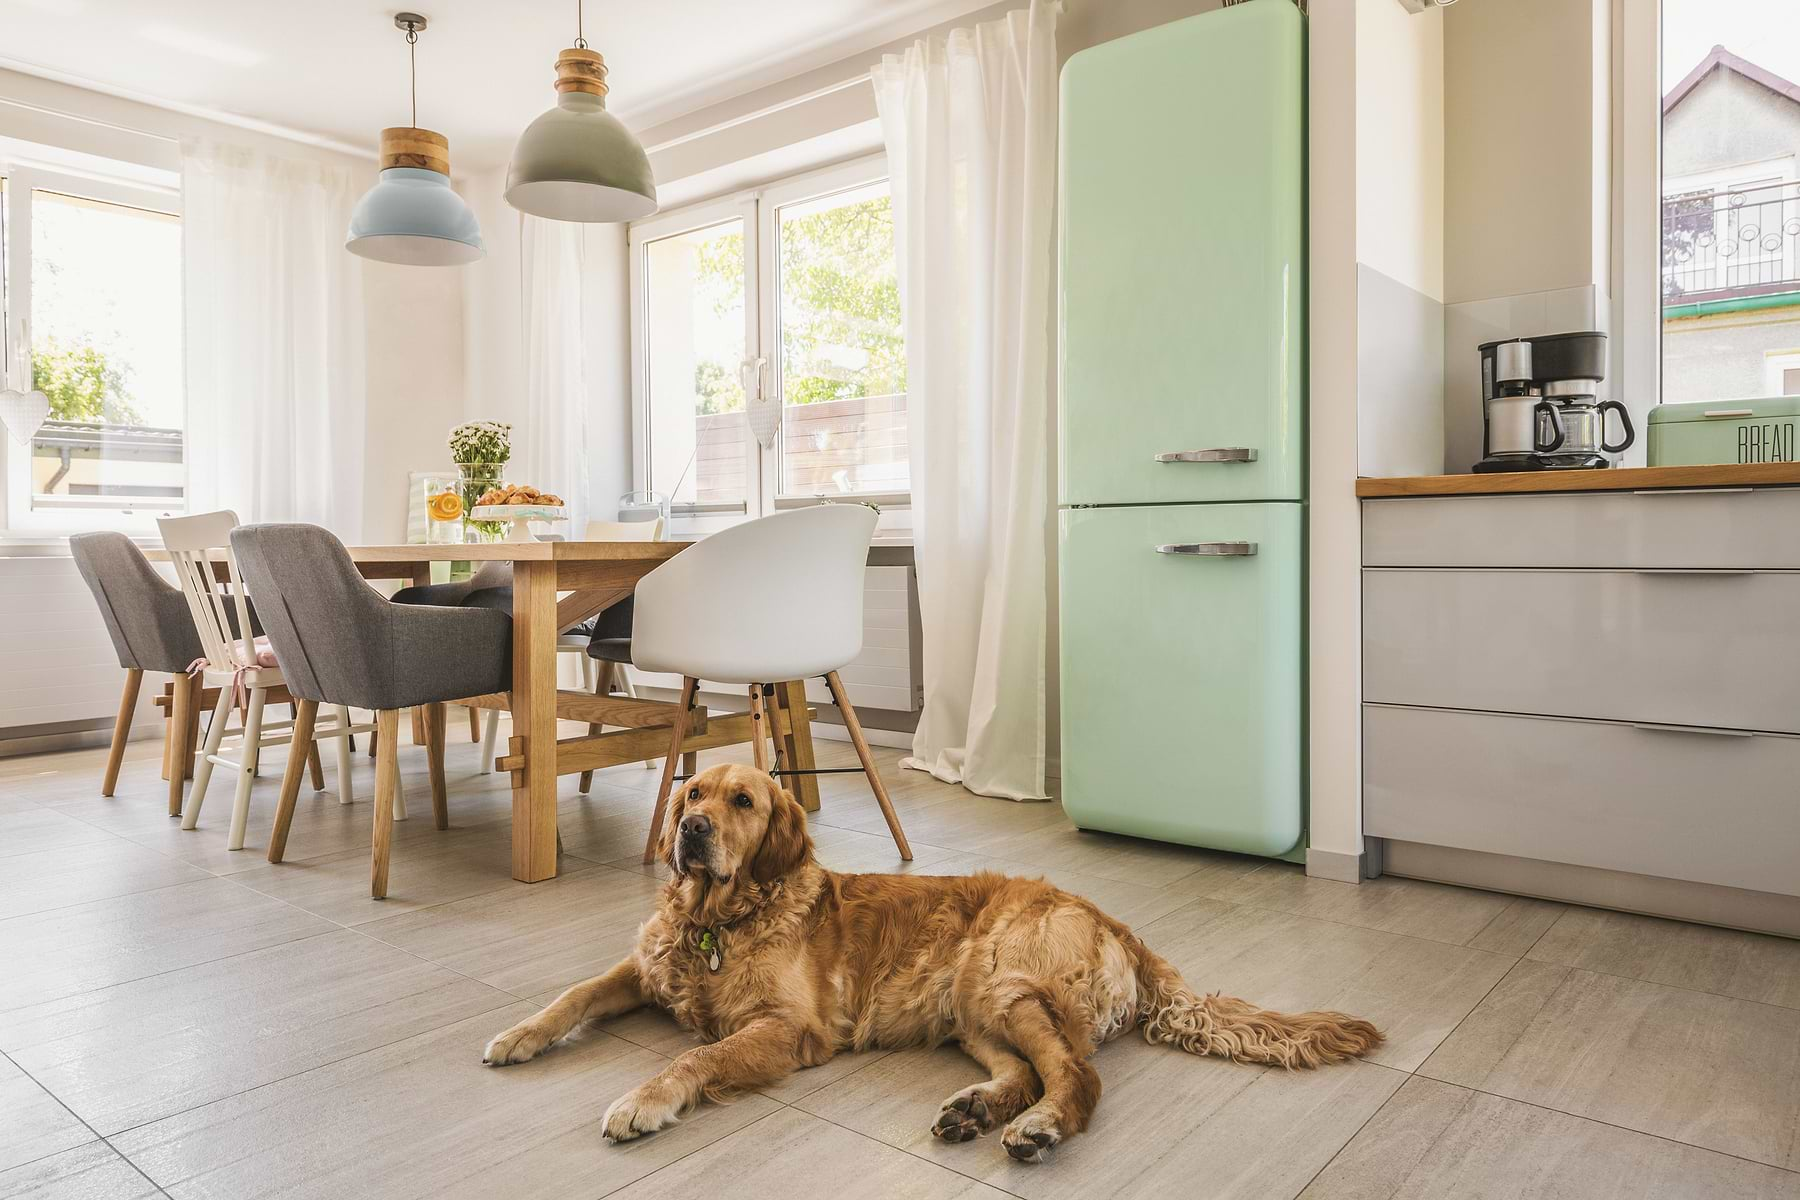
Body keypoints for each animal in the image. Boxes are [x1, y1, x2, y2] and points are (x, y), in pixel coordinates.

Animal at [478, 766, 1375, 1158]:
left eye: (744, 802)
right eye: (693, 793)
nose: (692, 831)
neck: (719, 921)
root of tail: (1113, 920)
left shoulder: (789, 1030)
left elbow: (699, 1056)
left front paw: (643, 1101)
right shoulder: (643, 971)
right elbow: (573, 994)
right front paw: (517, 1035)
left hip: (999, 977)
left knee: (1076, 1076)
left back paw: (1039, 1128)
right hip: (973, 1010)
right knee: (1026, 1070)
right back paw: (975, 1110)